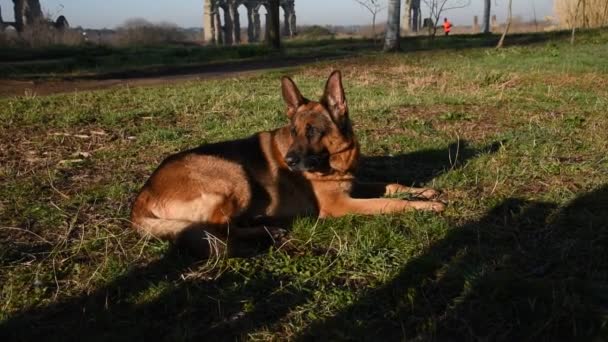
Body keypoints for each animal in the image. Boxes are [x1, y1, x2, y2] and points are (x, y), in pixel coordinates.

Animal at [132, 70, 446, 256]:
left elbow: (391, 185)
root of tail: (142, 195)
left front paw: (424, 192)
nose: (289, 161)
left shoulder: (354, 185)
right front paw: (425, 206)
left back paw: (267, 227)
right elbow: (390, 203)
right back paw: (264, 233)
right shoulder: (340, 205)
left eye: (313, 131)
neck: (335, 160)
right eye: (294, 131)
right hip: (234, 174)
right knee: (220, 228)